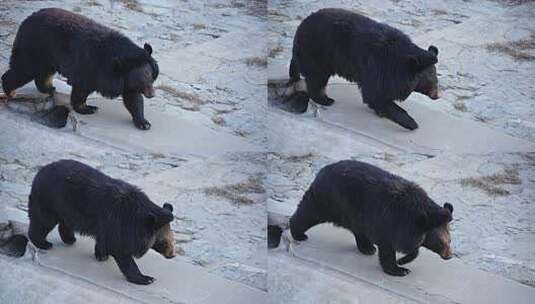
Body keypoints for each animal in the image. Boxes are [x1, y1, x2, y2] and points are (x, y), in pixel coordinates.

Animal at [1, 8, 159, 129]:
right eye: (142, 79)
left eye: (151, 76)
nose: (152, 94)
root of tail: (25, 21)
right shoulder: (91, 67)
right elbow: (81, 89)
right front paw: (88, 108)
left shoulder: (125, 79)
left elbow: (133, 99)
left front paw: (144, 123)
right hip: (35, 48)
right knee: (24, 69)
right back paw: (11, 93)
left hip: (48, 55)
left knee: (43, 72)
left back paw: (48, 88)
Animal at [27, 159, 177, 284]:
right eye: (164, 242)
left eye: (173, 240)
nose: (172, 255)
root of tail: (40, 171)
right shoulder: (120, 224)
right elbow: (120, 250)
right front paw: (146, 278)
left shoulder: (109, 225)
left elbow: (104, 240)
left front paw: (101, 255)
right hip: (49, 200)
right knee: (42, 221)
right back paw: (44, 243)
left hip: (65, 207)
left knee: (64, 223)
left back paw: (70, 239)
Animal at [292, 8, 442, 129]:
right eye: (430, 81)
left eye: (436, 78)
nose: (437, 95)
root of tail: (300, 27)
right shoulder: (378, 68)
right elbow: (375, 94)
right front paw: (411, 122)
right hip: (318, 53)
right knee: (317, 78)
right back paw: (326, 100)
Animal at [292, 160, 454, 276]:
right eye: (441, 242)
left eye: (450, 241)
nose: (449, 256)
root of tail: (322, 171)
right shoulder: (393, 223)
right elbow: (389, 248)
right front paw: (399, 269)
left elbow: (412, 248)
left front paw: (403, 261)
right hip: (328, 201)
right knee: (309, 214)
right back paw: (298, 233)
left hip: (354, 213)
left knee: (358, 230)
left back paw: (367, 248)